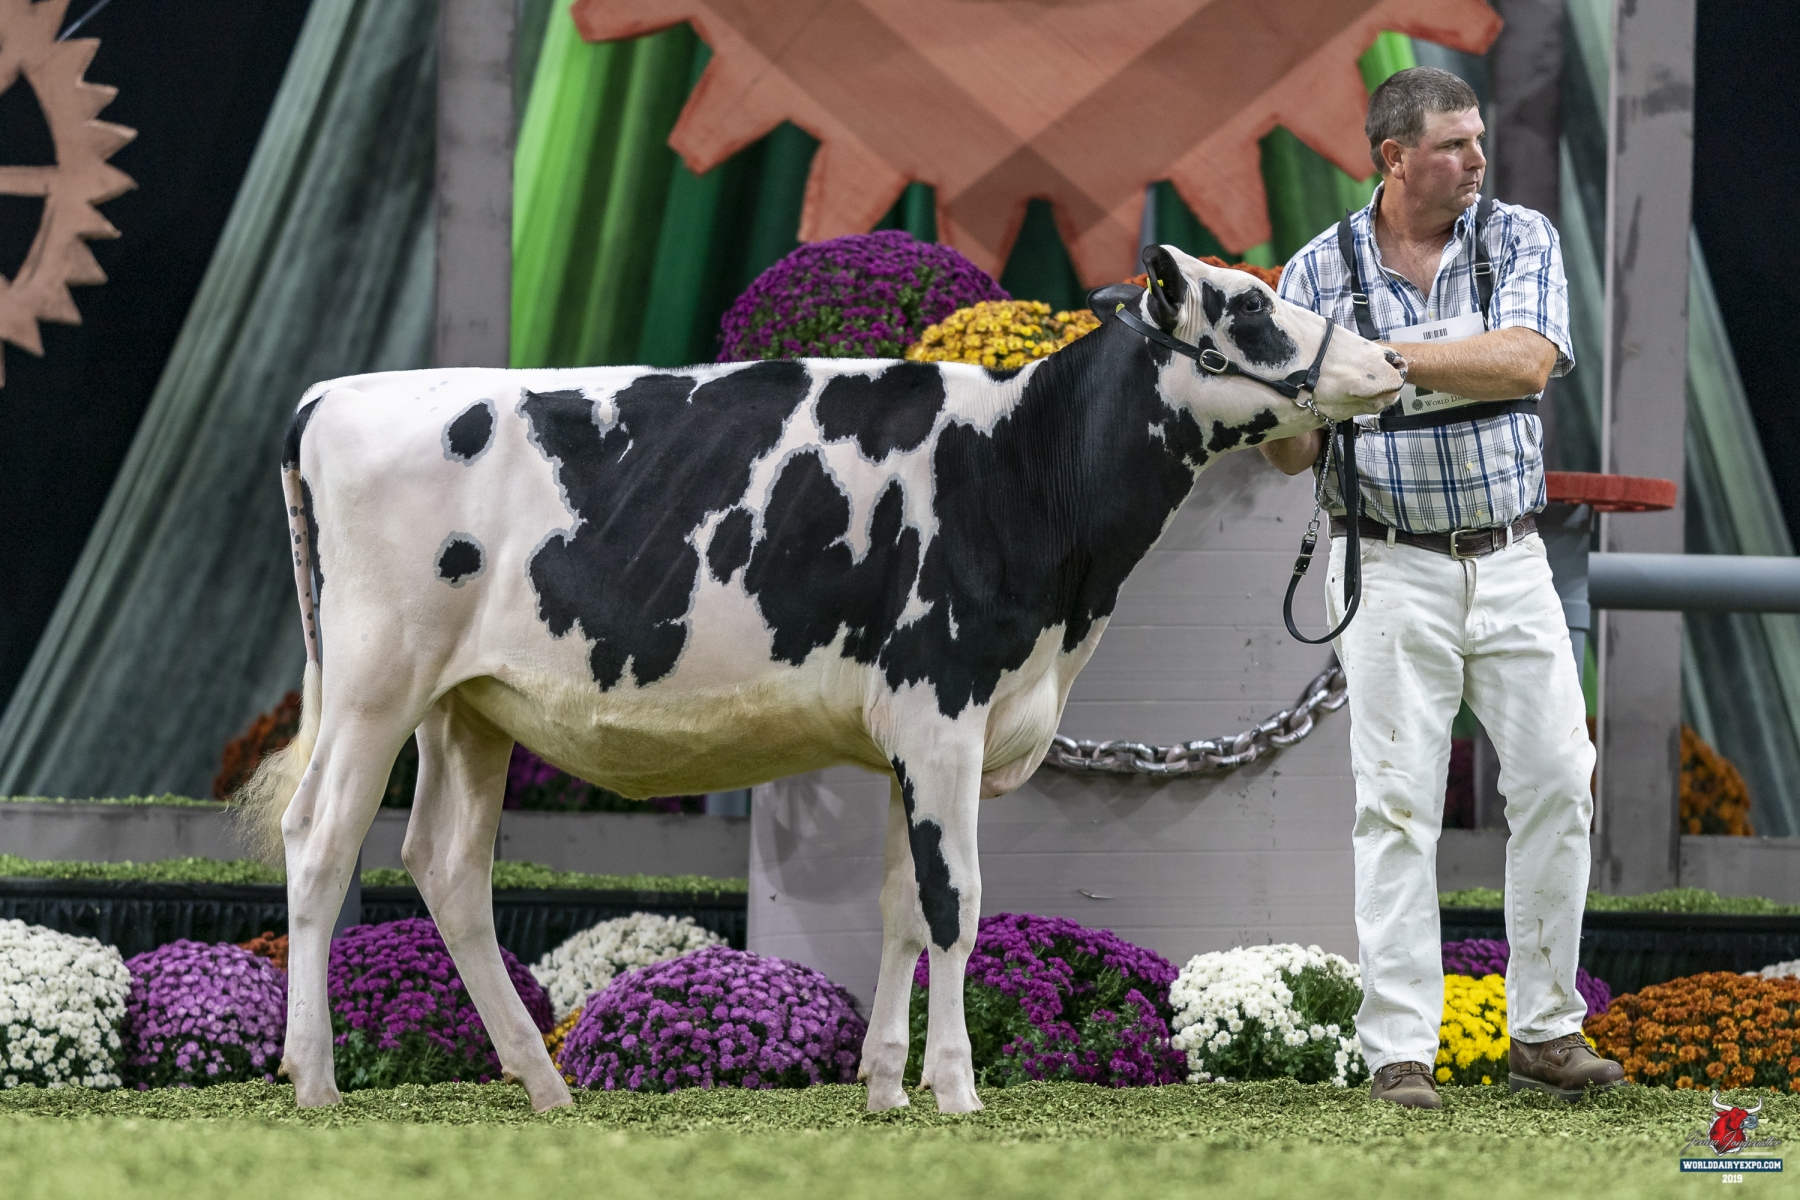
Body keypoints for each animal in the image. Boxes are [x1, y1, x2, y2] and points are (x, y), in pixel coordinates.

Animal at [242, 244, 1404, 1114]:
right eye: (1250, 305)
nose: (1390, 360)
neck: (1025, 470)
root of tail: (331, 396)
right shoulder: (943, 705)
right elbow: (955, 903)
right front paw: (957, 1090)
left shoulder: (911, 735)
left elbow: (898, 908)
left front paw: (886, 1086)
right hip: (374, 681)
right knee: (321, 839)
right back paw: (314, 1079)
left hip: (467, 705)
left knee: (447, 867)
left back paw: (542, 1082)